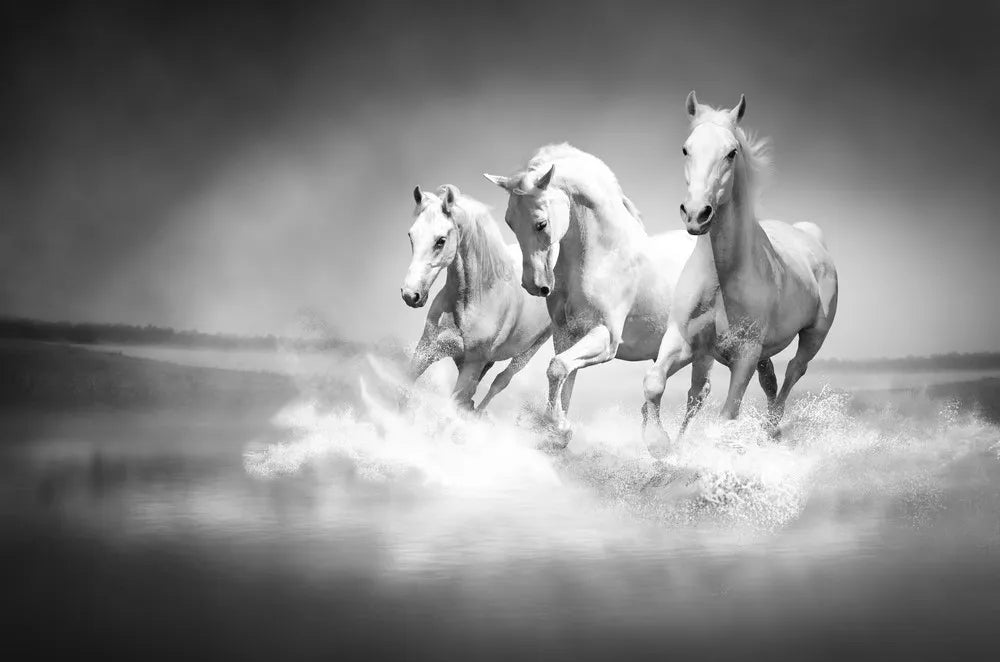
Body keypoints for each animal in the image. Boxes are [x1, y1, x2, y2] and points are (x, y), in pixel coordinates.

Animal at [401, 184, 552, 411]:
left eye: (441, 241)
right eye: (411, 235)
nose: (410, 295)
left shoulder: (472, 365)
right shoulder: (427, 349)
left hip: (529, 350)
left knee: (500, 381)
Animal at [484, 144, 701, 444]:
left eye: (541, 223)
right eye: (509, 223)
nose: (534, 285)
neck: (604, 257)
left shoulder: (605, 337)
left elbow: (557, 368)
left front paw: (559, 427)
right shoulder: (566, 335)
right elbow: (564, 377)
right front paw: (558, 430)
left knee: (698, 395)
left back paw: (675, 446)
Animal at [642, 92, 839, 456]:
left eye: (731, 152)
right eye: (686, 149)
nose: (696, 214)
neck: (722, 277)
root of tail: (811, 237)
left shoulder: (744, 355)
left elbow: (727, 415)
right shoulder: (683, 341)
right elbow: (654, 382)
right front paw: (659, 444)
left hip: (814, 335)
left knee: (794, 371)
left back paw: (772, 429)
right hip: (763, 352)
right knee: (770, 379)